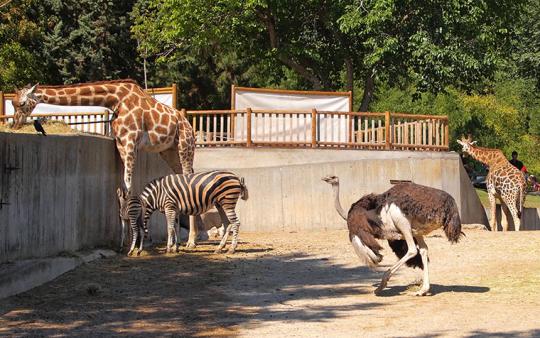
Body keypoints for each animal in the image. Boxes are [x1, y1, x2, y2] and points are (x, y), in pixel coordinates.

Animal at [10, 80, 200, 247]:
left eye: (22, 103)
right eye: (12, 103)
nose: (16, 124)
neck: (115, 100)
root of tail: (189, 125)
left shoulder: (130, 142)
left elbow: (128, 187)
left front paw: (134, 239)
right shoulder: (121, 144)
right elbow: (124, 190)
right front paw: (126, 239)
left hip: (185, 146)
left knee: (189, 178)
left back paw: (191, 240)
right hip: (169, 151)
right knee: (181, 180)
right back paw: (178, 239)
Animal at [117, 170, 248, 255]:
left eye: (128, 208)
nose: (121, 216)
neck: (157, 194)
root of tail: (236, 178)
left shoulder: (169, 207)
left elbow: (169, 228)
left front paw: (168, 248)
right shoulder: (173, 209)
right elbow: (175, 227)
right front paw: (176, 247)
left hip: (228, 202)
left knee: (236, 223)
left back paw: (232, 249)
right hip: (220, 204)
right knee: (227, 224)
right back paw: (220, 248)